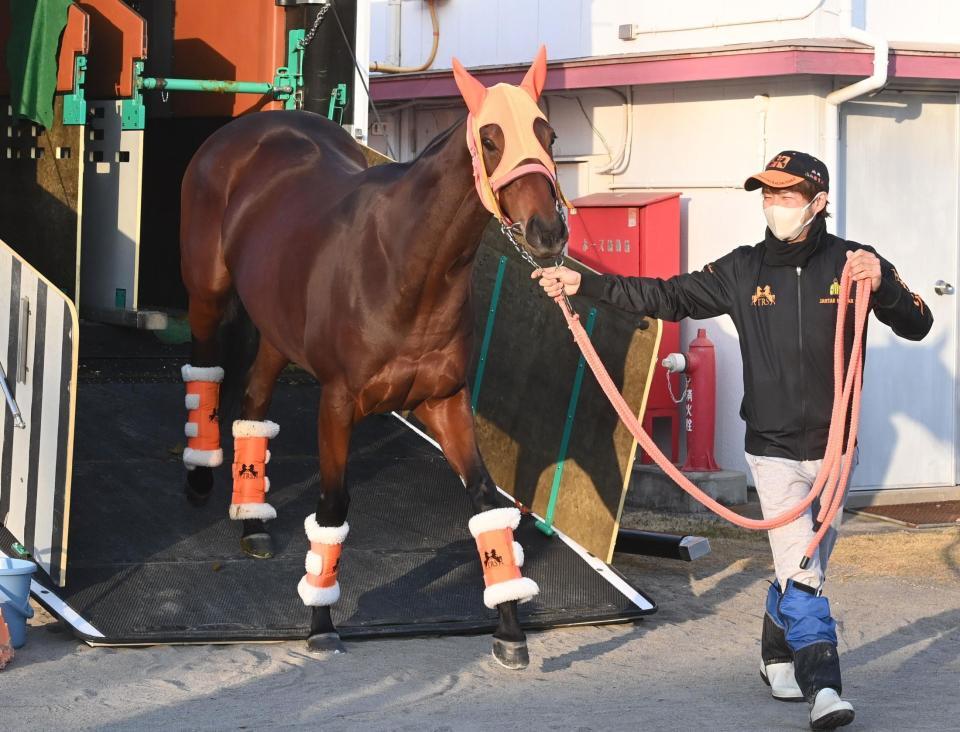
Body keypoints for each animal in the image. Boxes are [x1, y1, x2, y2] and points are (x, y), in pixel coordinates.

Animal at [179, 47, 564, 668]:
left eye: (548, 134)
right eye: (490, 139)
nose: (549, 232)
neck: (403, 264)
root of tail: (245, 129)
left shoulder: (445, 400)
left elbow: (485, 502)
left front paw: (509, 628)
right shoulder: (338, 403)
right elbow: (333, 509)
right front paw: (320, 621)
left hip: (277, 328)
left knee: (254, 401)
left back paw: (253, 519)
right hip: (208, 294)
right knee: (204, 371)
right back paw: (198, 476)